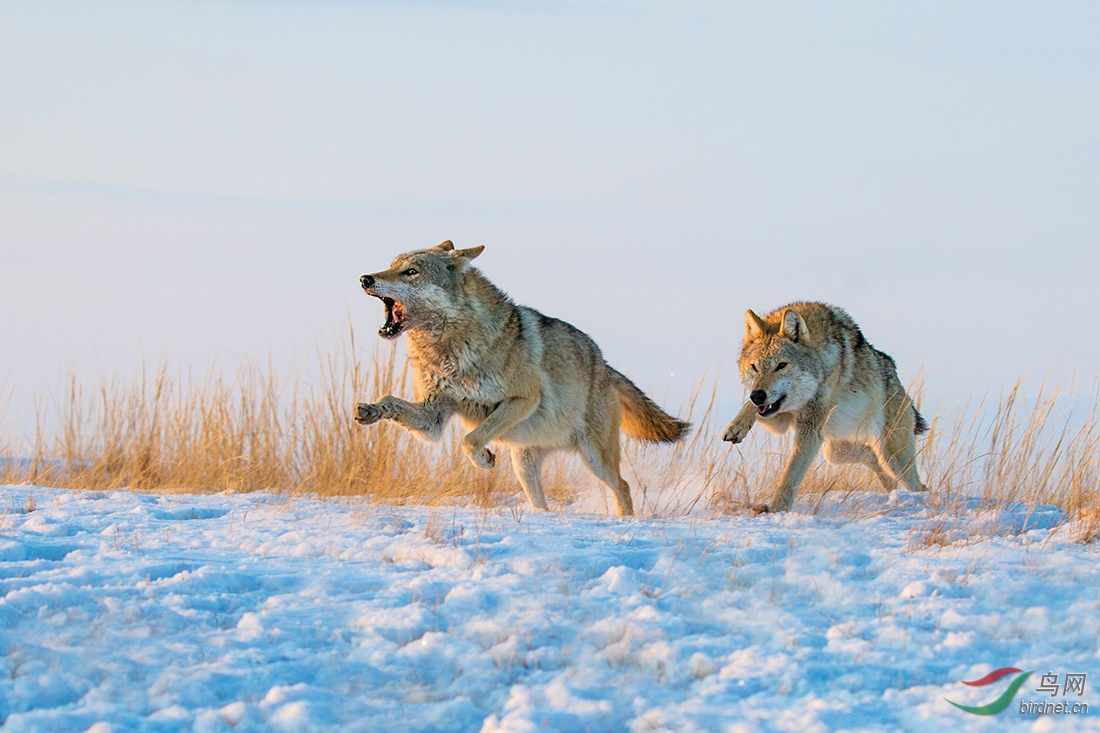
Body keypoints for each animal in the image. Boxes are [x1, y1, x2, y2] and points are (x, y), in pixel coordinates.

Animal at [354, 239, 686, 512]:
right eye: (391, 266)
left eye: (411, 272)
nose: (364, 278)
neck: (448, 349)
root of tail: (604, 364)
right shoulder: (433, 417)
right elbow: (390, 400)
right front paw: (371, 410)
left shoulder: (523, 399)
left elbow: (469, 440)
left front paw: (485, 460)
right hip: (524, 465)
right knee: (544, 503)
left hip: (596, 459)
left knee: (624, 487)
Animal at [721, 299, 928, 510]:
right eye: (754, 367)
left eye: (781, 365)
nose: (758, 395)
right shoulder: (781, 419)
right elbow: (749, 407)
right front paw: (737, 427)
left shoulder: (810, 429)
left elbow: (790, 474)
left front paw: (777, 509)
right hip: (835, 448)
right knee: (869, 457)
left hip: (894, 458)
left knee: (916, 484)